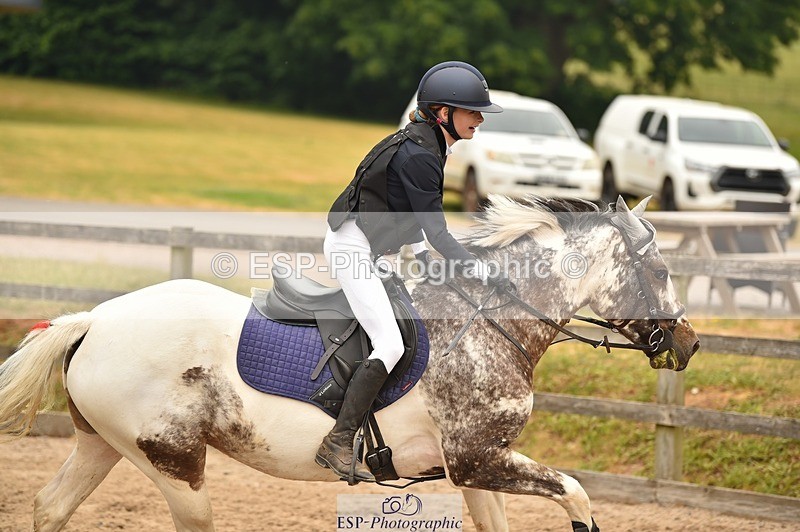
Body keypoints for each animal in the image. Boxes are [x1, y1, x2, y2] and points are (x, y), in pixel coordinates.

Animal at [0, 196, 700, 532]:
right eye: (661, 270)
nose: (689, 344)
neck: (491, 320)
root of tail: (95, 320)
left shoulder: (476, 467)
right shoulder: (482, 459)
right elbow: (577, 494)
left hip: (103, 443)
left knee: (50, 509)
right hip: (173, 463)